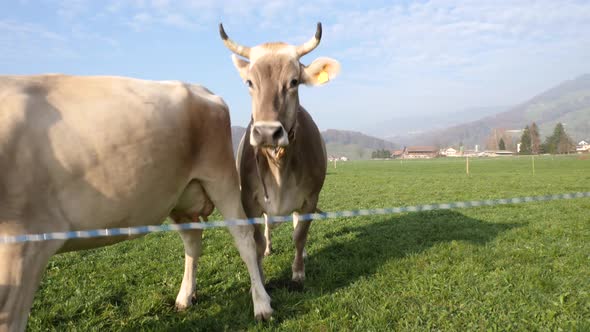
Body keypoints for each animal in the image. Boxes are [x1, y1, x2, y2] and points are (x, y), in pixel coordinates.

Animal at [221, 22, 342, 282]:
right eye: (249, 82)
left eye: (294, 81)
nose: (267, 132)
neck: (279, 167)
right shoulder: (250, 202)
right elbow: (256, 241)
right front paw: (260, 276)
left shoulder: (310, 199)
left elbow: (299, 235)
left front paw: (298, 272)